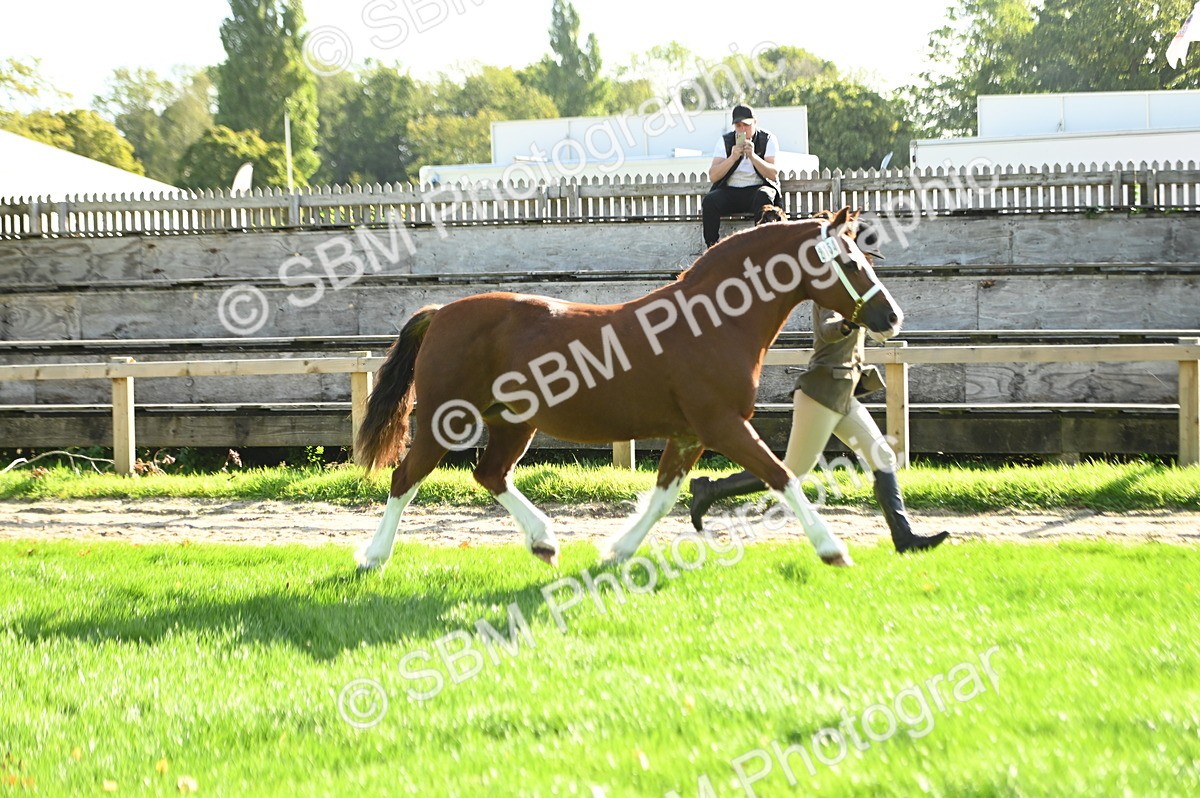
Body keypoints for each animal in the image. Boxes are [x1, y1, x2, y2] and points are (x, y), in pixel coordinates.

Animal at [353, 206, 902, 571]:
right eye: (851, 263)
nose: (891, 316)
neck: (713, 322)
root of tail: (441, 312)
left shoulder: (689, 435)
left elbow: (663, 497)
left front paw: (617, 551)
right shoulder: (723, 426)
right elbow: (782, 476)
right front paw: (833, 550)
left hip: (511, 423)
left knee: (489, 475)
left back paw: (544, 542)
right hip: (446, 420)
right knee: (405, 477)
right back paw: (373, 557)